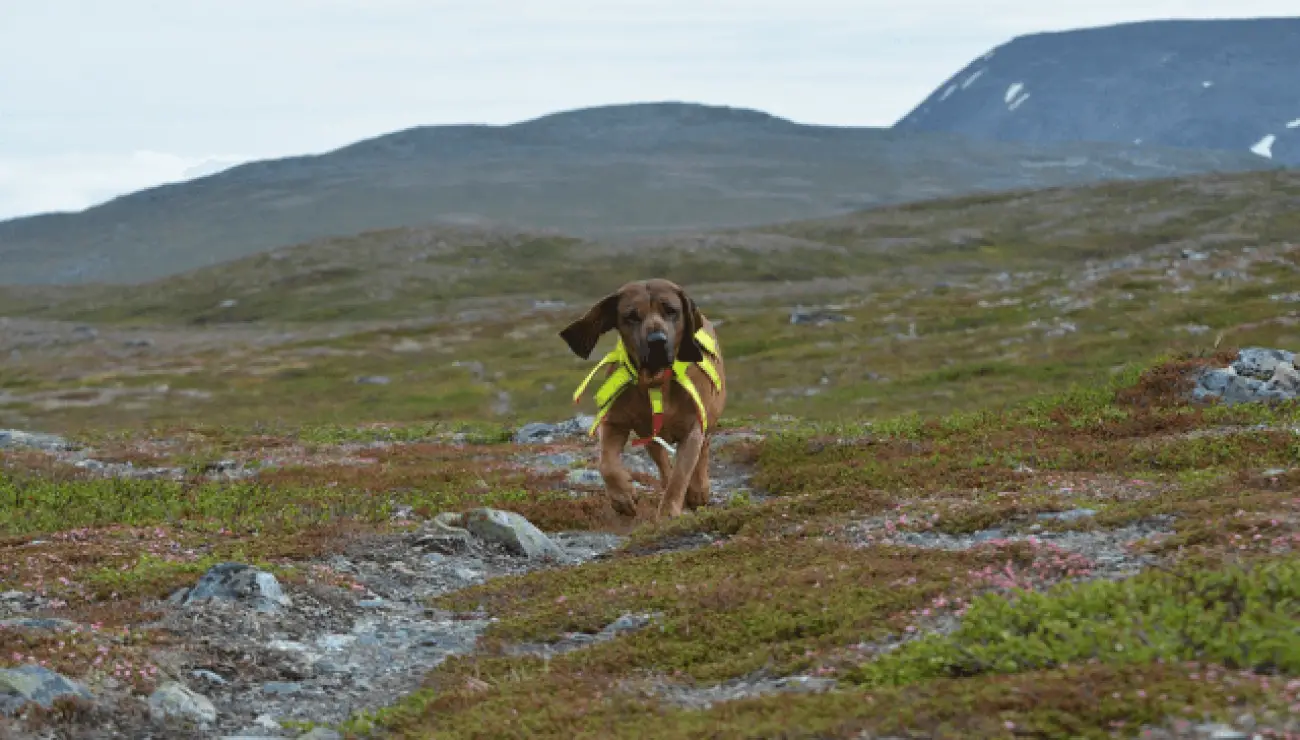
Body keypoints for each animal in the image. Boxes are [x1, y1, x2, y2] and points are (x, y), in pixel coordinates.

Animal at [559, 279, 728, 517]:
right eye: (631, 316)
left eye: (671, 310)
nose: (657, 340)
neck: (655, 381)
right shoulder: (614, 422)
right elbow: (606, 464)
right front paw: (622, 496)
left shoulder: (692, 430)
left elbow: (681, 476)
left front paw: (668, 511)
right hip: (649, 435)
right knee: (662, 462)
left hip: (709, 418)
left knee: (702, 452)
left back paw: (698, 490)